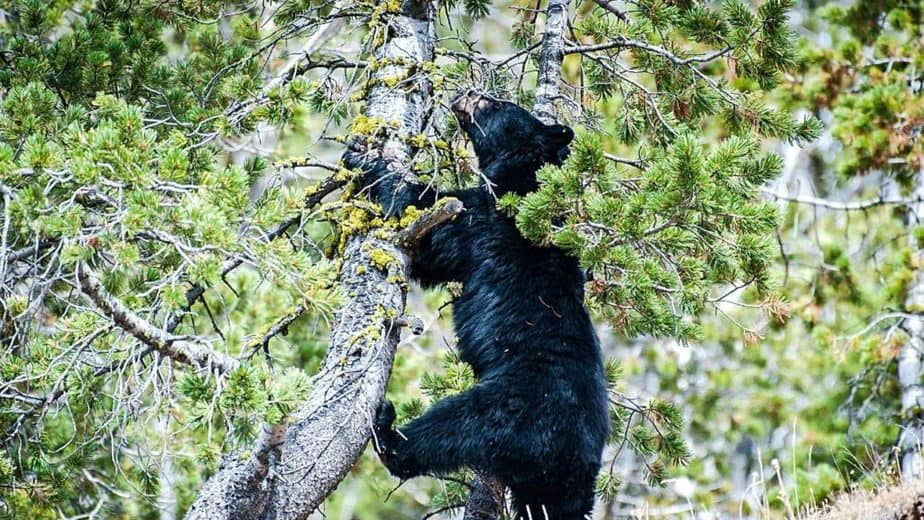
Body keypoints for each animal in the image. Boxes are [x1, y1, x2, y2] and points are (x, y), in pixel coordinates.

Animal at [342, 93, 608, 520]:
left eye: (496, 104)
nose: (466, 94)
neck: (524, 174)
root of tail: (578, 458)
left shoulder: (486, 216)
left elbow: (429, 216)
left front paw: (366, 156)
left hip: (510, 410)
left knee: (449, 427)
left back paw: (388, 431)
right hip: (553, 488)